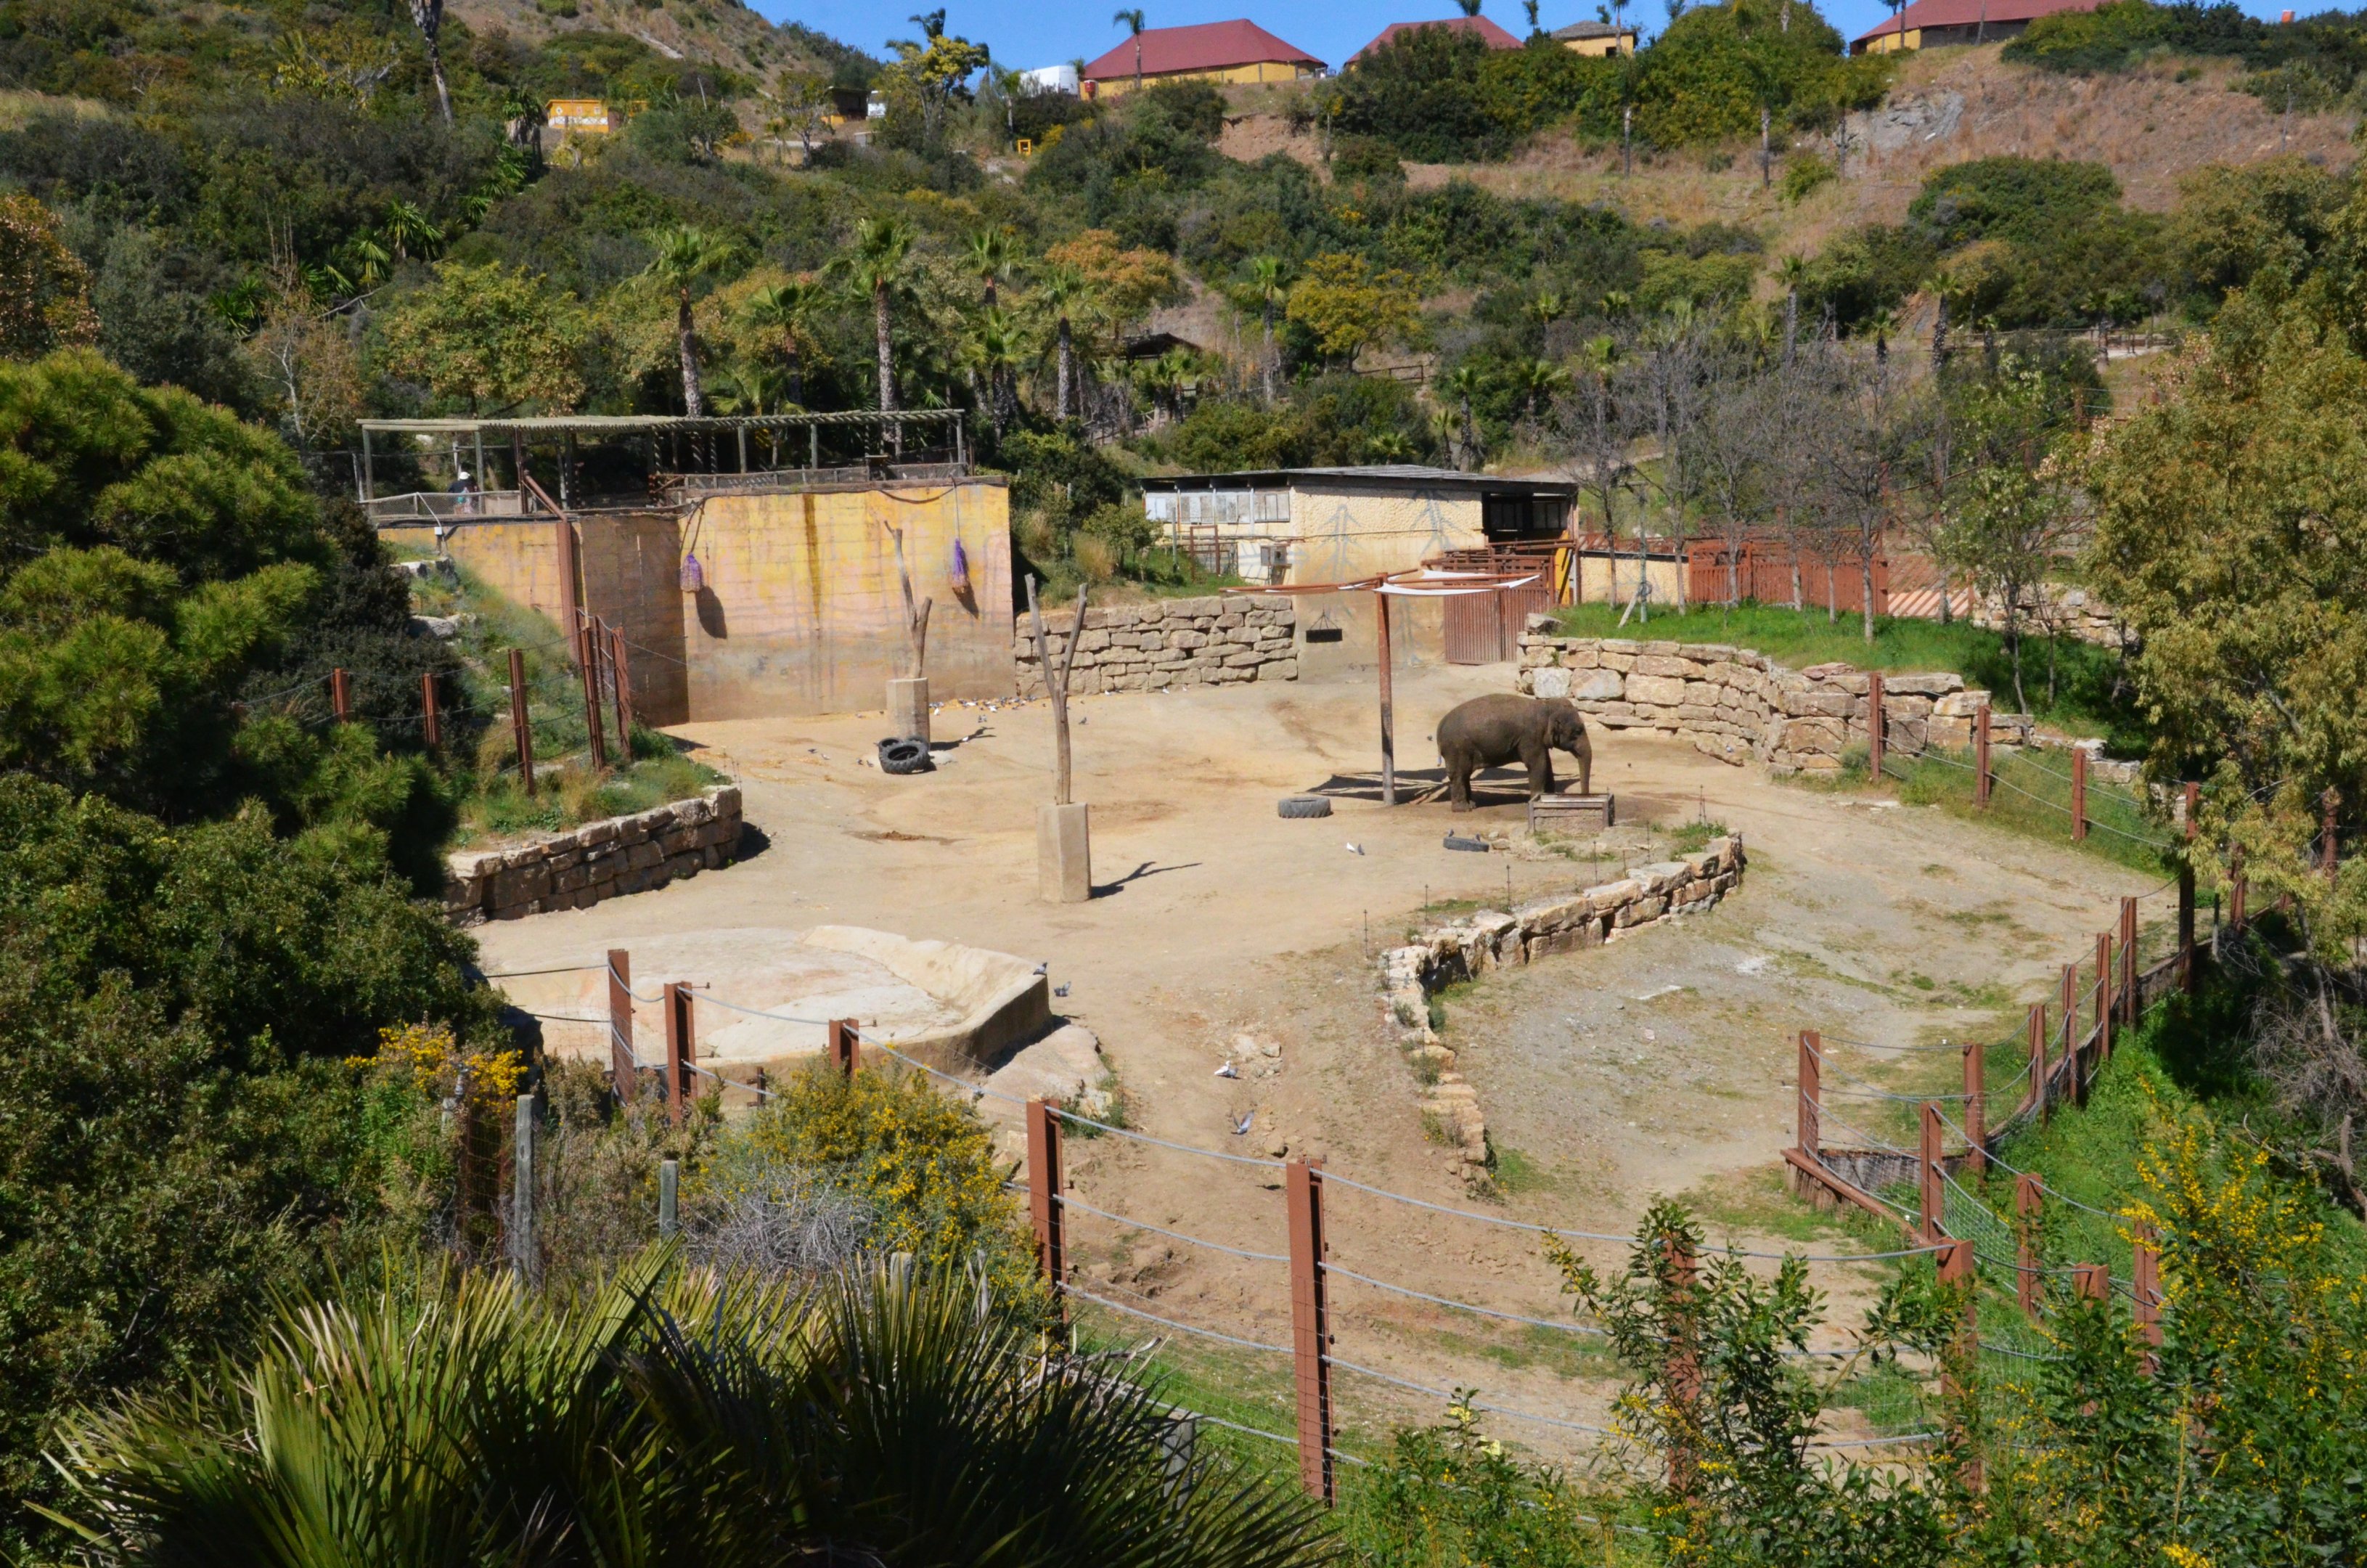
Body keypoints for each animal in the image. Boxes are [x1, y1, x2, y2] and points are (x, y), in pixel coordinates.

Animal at [1436, 694, 1592, 812]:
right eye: (1577, 731)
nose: (1584, 798)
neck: (1545, 705)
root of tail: (1440, 726)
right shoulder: (1530, 737)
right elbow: (1538, 765)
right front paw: (1536, 800)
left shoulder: (1538, 741)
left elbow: (1547, 765)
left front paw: (1549, 797)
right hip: (1456, 749)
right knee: (1459, 775)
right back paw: (1464, 809)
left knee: (1465, 774)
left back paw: (1472, 804)